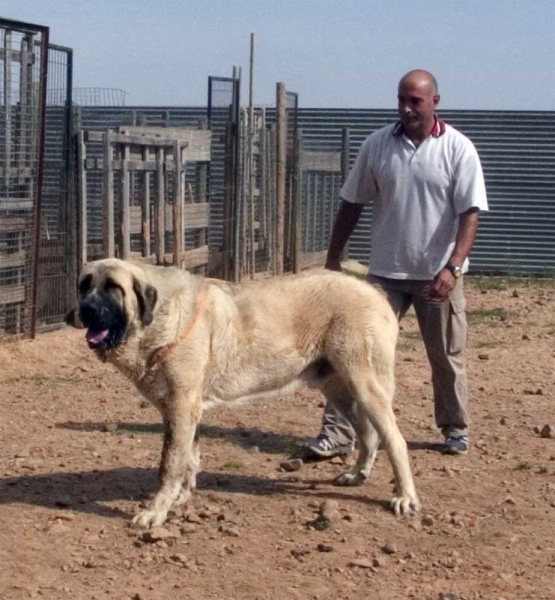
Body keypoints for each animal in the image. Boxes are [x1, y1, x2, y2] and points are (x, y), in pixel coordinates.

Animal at [66, 258, 422, 524]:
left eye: (113, 288)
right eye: (84, 286)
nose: (85, 311)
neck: (159, 320)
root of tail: (373, 291)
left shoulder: (181, 406)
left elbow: (169, 464)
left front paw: (156, 511)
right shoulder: (184, 410)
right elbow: (189, 459)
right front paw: (181, 498)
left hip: (365, 384)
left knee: (395, 439)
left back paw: (404, 495)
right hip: (338, 388)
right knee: (368, 434)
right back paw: (358, 474)